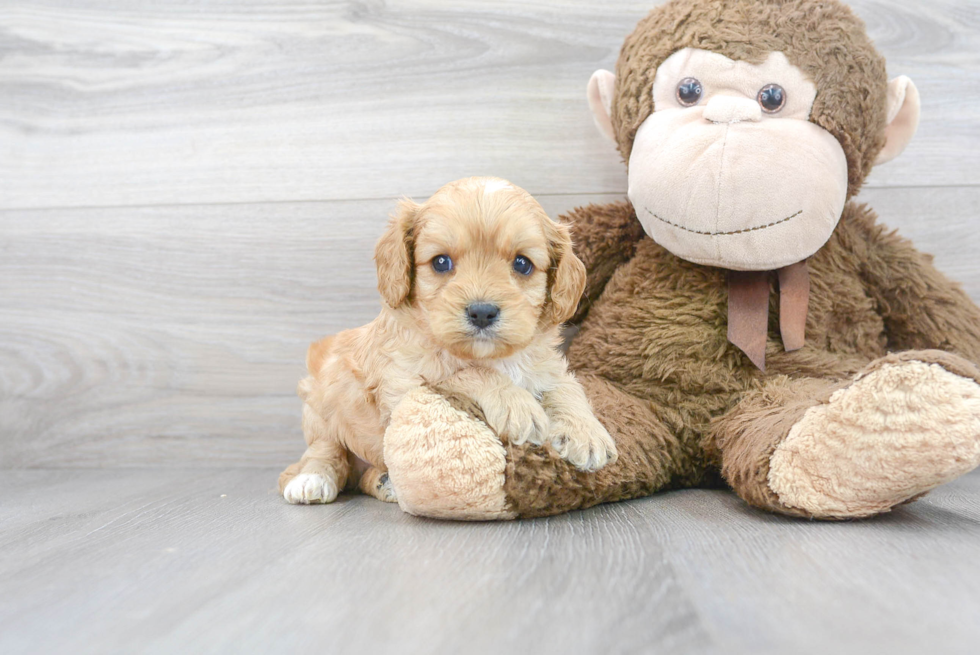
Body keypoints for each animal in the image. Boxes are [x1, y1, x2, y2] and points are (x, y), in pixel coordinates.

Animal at [278, 177, 612, 504]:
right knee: (326, 451)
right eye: (440, 262)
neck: (492, 356)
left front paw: (587, 432)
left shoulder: (545, 366)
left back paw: (385, 482)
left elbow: (567, 387)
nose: (482, 312)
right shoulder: (407, 382)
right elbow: (465, 374)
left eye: (522, 264)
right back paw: (311, 480)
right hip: (323, 401)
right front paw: (517, 405)